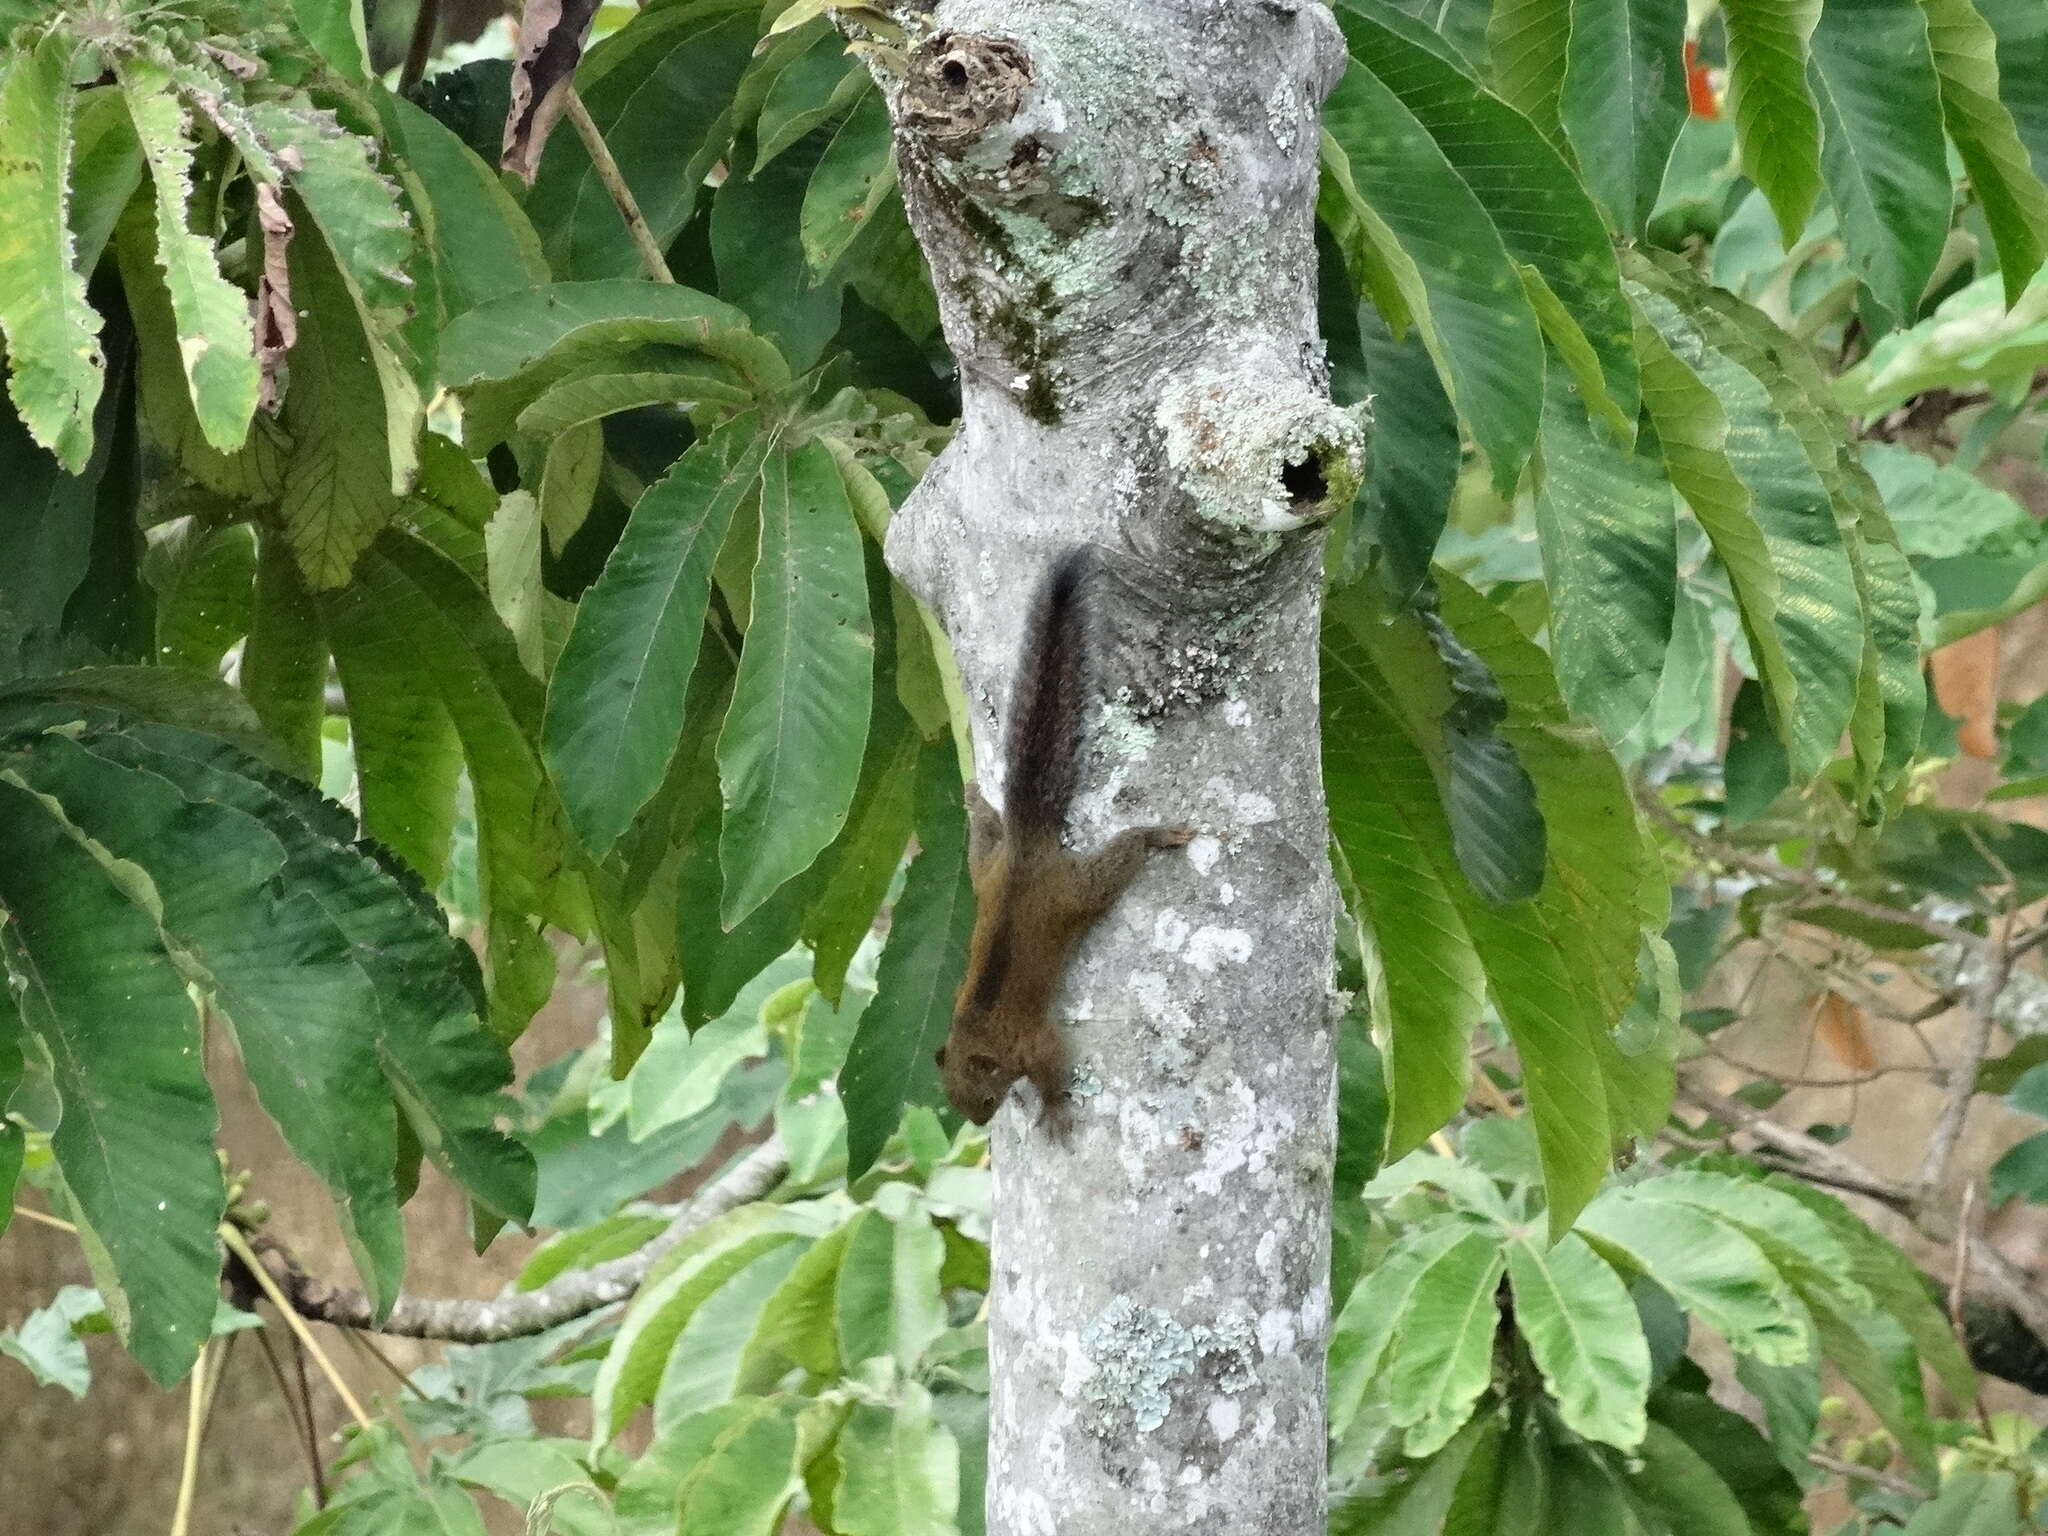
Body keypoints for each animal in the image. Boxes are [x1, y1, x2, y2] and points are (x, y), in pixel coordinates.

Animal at [937, 548, 1196, 1130]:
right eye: (951, 1098)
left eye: (983, 1099)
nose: (980, 1124)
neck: (977, 1032)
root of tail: (1027, 849)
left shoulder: (1033, 1040)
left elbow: (1052, 1063)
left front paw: (1054, 1110)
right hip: (988, 871)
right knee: (984, 841)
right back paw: (976, 801)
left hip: (1078, 889)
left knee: (1121, 857)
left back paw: (1156, 834)